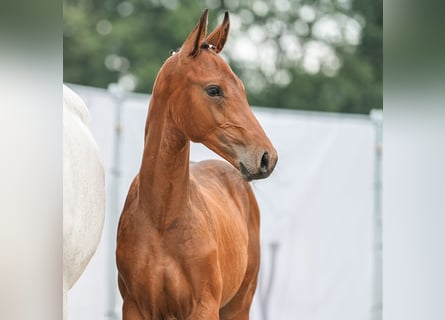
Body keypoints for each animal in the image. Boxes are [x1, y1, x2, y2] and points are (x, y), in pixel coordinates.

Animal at [117, 10, 278, 320]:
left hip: (239, 304)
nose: (267, 157)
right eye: (214, 89)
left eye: (241, 87)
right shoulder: (134, 308)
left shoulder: (203, 308)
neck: (162, 220)